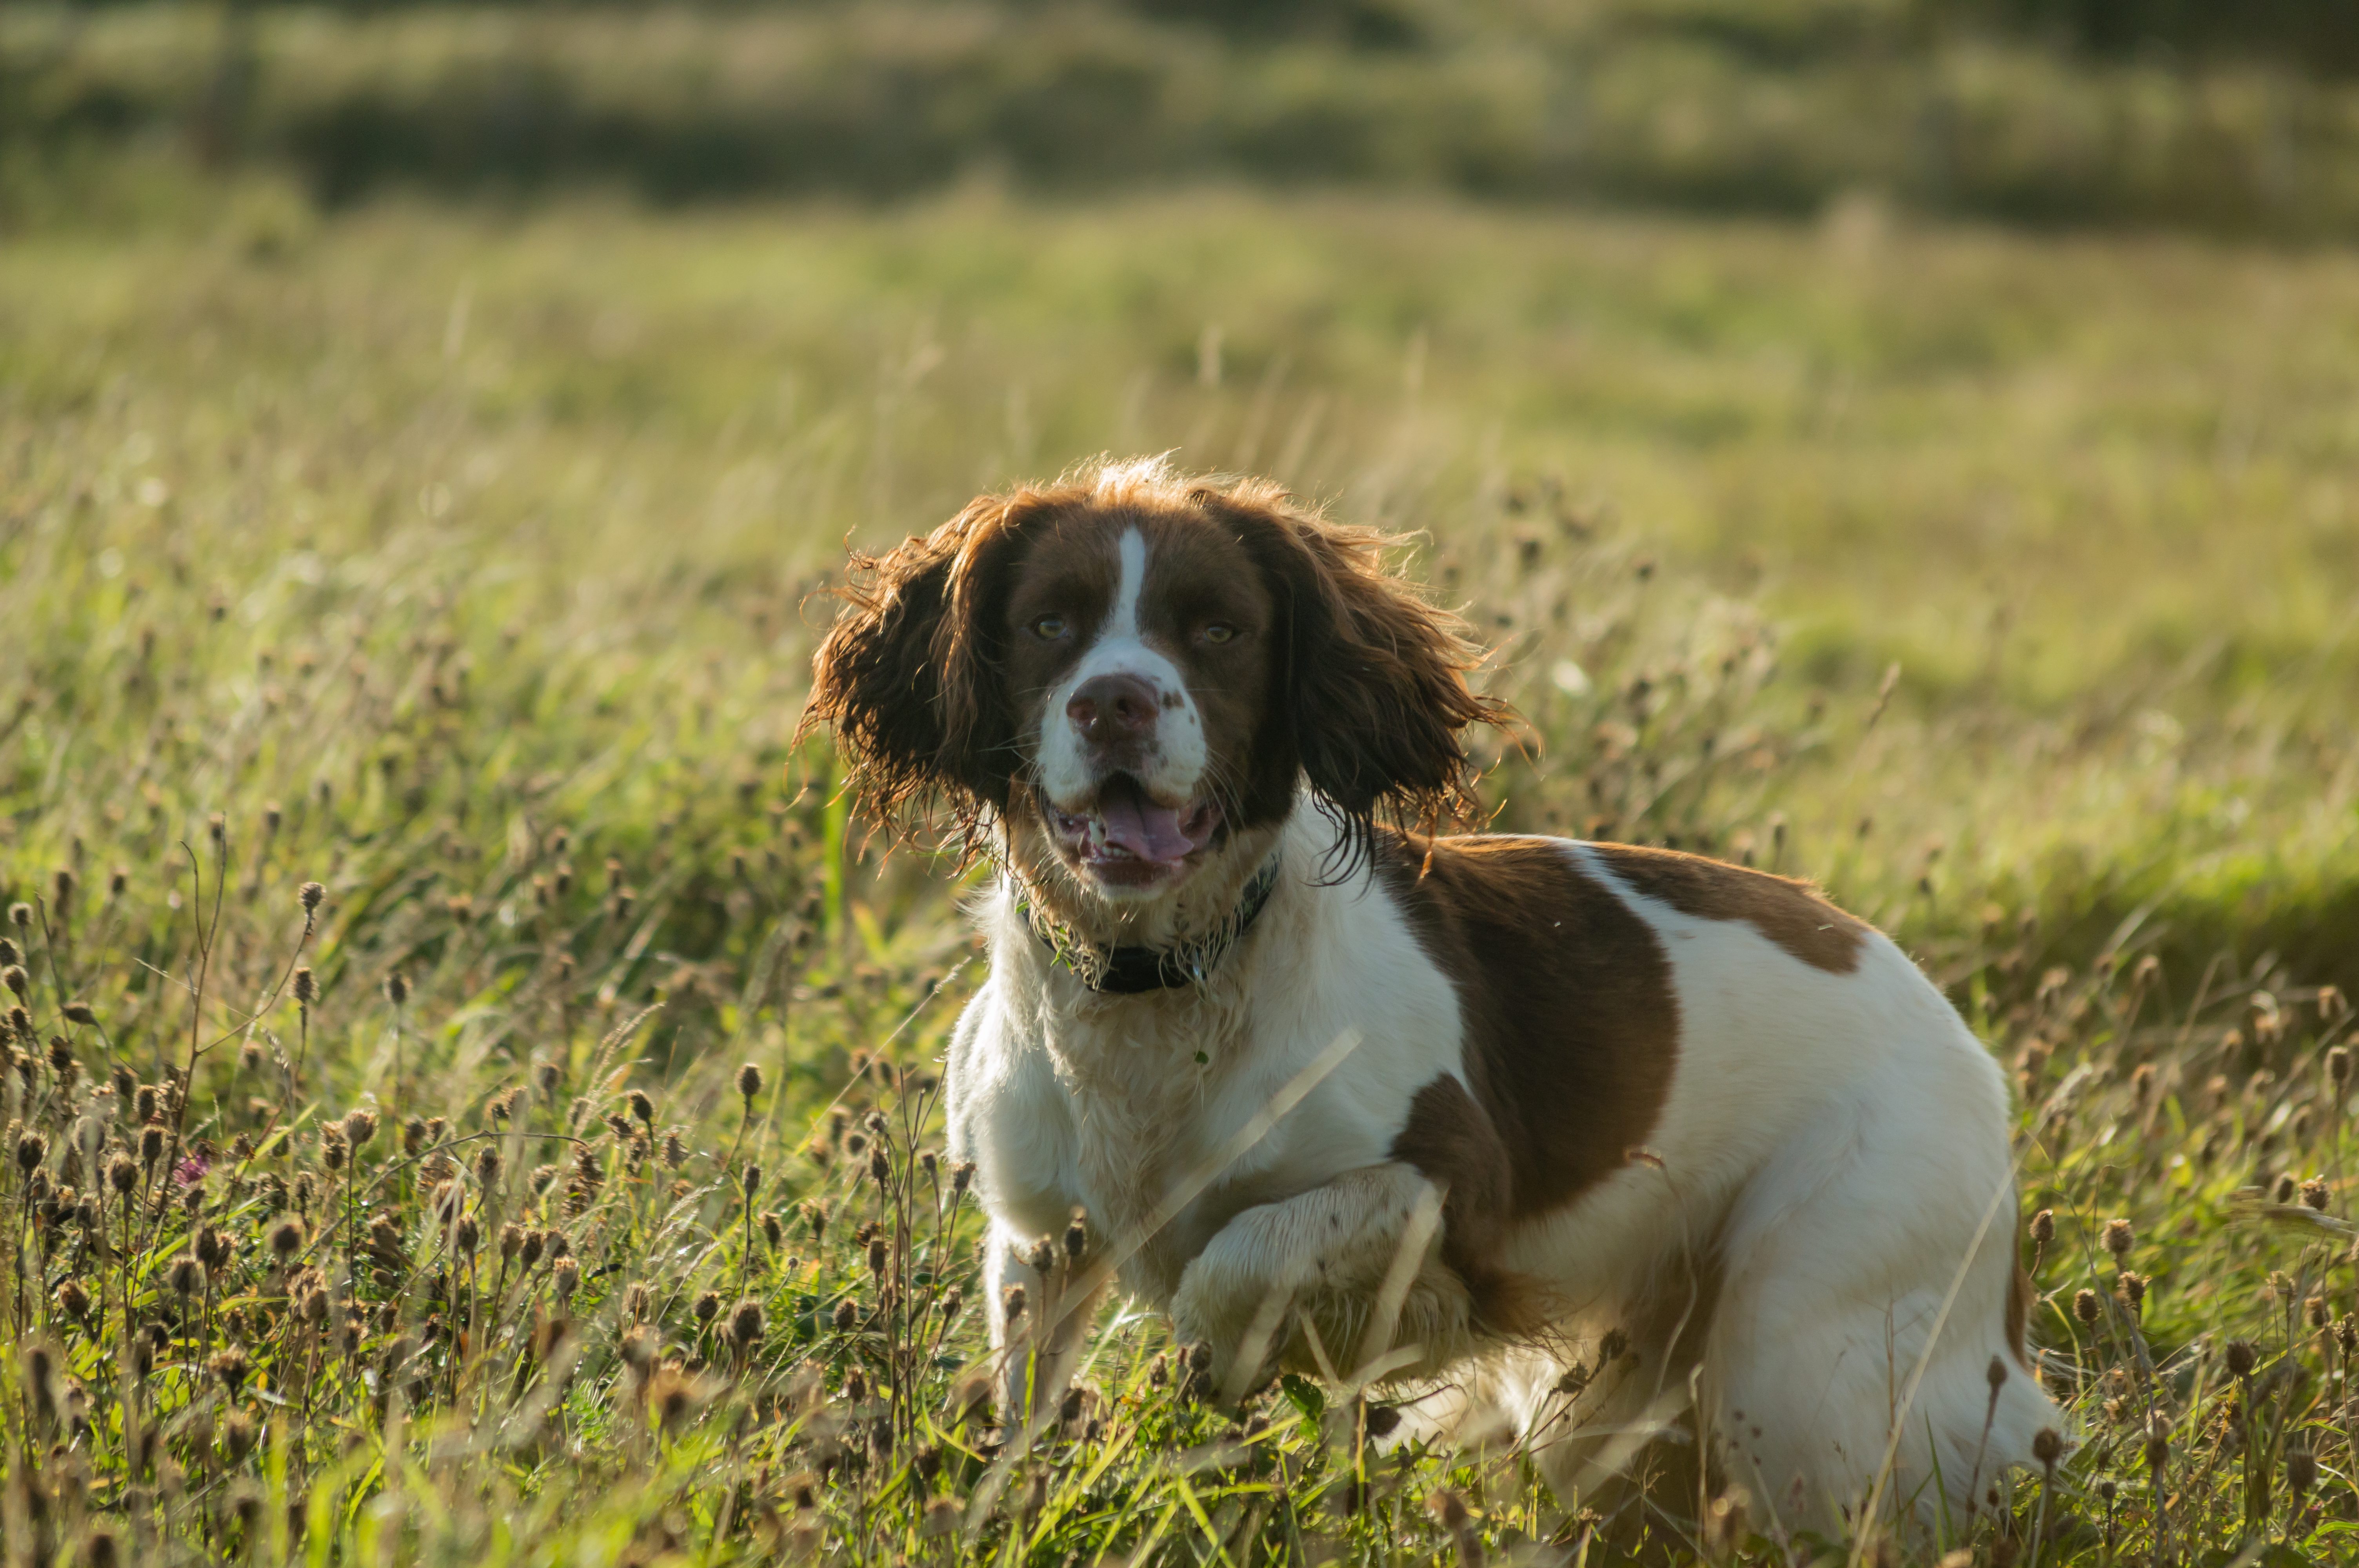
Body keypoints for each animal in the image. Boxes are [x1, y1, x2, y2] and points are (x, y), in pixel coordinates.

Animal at [802, 459, 2057, 1537]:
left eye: (1218, 629)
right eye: (1049, 624)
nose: (1115, 704)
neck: (1161, 982)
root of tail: (1955, 1030)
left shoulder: (1457, 1187)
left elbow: (1233, 1263)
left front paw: (1233, 1374)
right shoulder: (1038, 1239)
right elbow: (1025, 1406)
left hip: (1804, 1350)